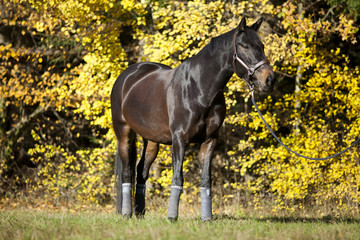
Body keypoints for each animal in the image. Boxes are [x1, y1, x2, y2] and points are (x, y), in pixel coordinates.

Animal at [111, 16, 274, 221]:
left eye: (262, 46)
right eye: (244, 46)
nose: (269, 79)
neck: (199, 88)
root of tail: (127, 76)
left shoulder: (210, 140)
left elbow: (206, 180)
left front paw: (207, 218)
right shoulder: (180, 140)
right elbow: (178, 177)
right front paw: (172, 217)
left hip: (152, 140)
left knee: (141, 172)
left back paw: (140, 214)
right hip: (124, 133)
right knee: (127, 171)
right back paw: (127, 213)